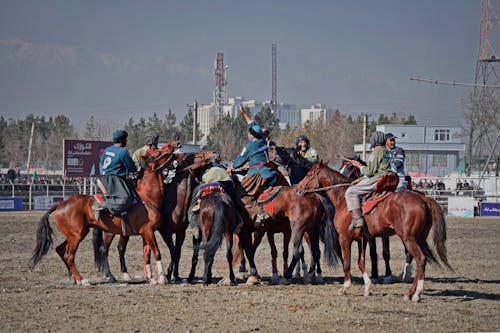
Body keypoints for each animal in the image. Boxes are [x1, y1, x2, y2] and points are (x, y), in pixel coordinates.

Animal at [31, 141, 180, 284]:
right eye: (158, 152)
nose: (175, 144)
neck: (146, 197)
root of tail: (60, 205)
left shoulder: (146, 233)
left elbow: (147, 255)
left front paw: (151, 279)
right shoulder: (148, 231)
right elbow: (157, 252)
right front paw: (162, 278)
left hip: (78, 234)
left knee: (61, 250)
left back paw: (75, 278)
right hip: (77, 236)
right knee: (70, 256)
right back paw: (83, 280)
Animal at [93, 150, 219, 282]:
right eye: (195, 155)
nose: (214, 153)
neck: (175, 205)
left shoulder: (181, 233)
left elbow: (177, 252)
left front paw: (176, 275)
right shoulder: (164, 232)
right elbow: (172, 252)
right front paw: (168, 274)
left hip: (124, 231)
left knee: (120, 248)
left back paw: (125, 273)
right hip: (109, 232)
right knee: (104, 249)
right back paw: (110, 275)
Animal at [296, 162, 454, 300]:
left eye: (309, 174)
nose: (298, 188)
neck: (343, 198)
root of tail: (423, 198)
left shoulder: (344, 238)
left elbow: (347, 263)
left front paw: (345, 287)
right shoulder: (363, 239)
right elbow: (361, 262)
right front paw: (367, 287)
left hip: (409, 238)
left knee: (420, 259)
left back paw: (416, 293)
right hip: (420, 238)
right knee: (420, 261)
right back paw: (410, 292)